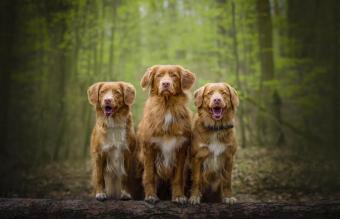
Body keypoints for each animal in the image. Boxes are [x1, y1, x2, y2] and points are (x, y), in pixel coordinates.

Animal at [137, 64, 197, 204]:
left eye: (174, 75)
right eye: (159, 75)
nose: (166, 84)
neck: (167, 107)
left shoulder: (181, 149)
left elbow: (178, 178)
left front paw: (178, 196)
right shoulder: (149, 148)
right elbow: (149, 175)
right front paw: (151, 196)